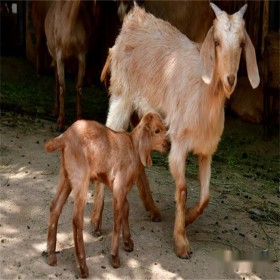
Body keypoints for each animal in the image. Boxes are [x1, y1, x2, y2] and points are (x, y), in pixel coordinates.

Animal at [93, 3, 260, 260]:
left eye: (242, 43)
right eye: (217, 41)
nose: (230, 79)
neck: (202, 94)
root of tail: (133, 18)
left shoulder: (206, 151)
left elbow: (205, 196)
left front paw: (188, 218)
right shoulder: (179, 144)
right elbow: (182, 190)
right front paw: (181, 241)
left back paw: (152, 209)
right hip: (121, 97)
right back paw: (95, 222)